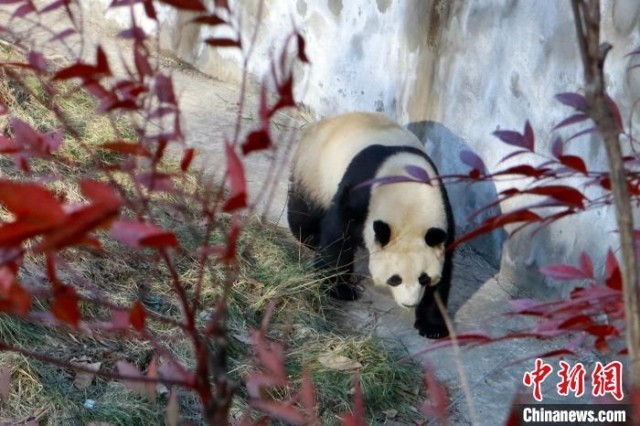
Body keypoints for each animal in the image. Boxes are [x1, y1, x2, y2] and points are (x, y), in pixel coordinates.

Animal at [288, 112, 452, 340]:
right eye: (395, 279)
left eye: (424, 278)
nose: (409, 303)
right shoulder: (359, 193)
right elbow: (337, 236)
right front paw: (339, 289)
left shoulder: (443, 212)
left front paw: (432, 327)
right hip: (315, 171)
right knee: (304, 211)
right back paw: (311, 238)